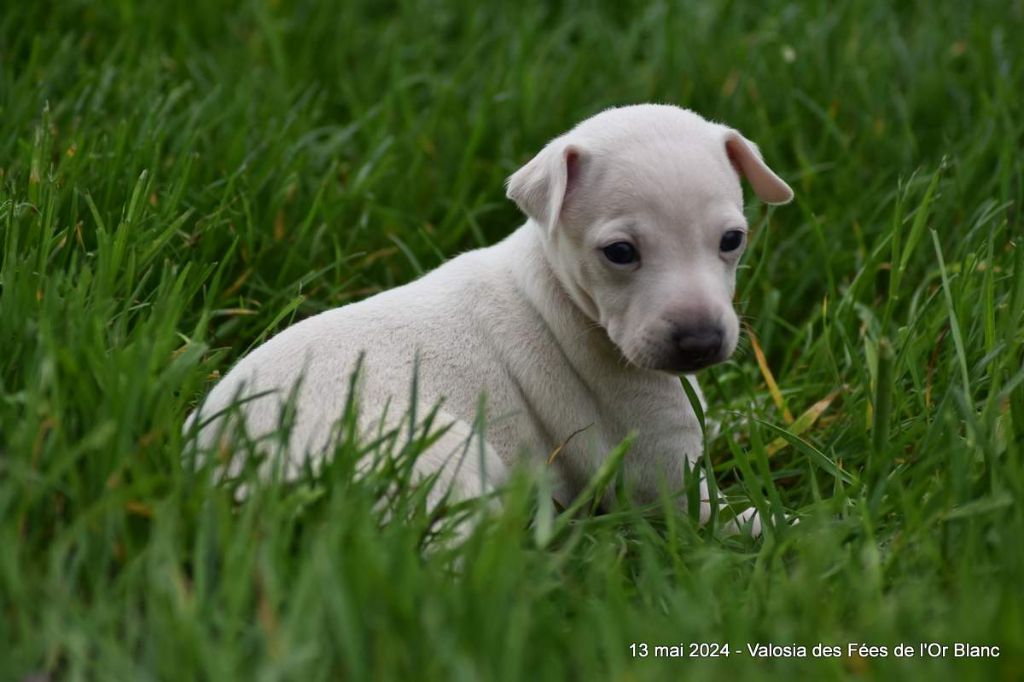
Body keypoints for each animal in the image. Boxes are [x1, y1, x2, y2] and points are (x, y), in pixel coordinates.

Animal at [188, 103, 794, 528]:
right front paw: (795, 529)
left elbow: (725, 414)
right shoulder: (660, 472)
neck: (560, 293)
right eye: (620, 252)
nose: (700, 342)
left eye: (732, 240)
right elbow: (730, 516)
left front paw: (761, 409)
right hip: (435, 453)